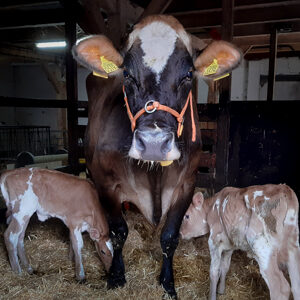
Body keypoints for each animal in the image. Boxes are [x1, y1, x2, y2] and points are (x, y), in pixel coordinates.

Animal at [72, 14, 241, 298]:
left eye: (188, 75)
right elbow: (118, 231)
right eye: (126, 74)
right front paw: (116, 276)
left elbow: (170, 237)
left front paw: (168, 284)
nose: (153, 142)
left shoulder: (186, 183)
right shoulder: (106, 183)